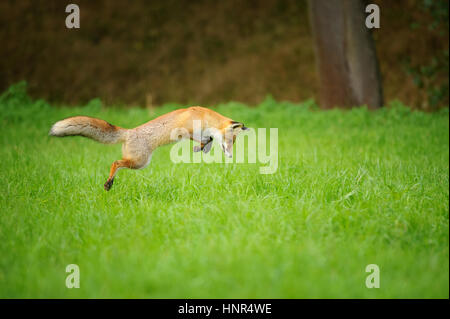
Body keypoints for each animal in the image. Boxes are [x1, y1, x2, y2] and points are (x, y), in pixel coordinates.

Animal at [50, 108, 248, 190]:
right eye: (230, 141)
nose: (230, 156)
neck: (205, 116)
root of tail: (128, 132)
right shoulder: (186, 130)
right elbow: (205, 138)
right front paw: (201, 146)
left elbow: (208, 139)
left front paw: (201, 148)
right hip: (140, 162)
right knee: (115, 163)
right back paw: (108, 183)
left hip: (138, 162)